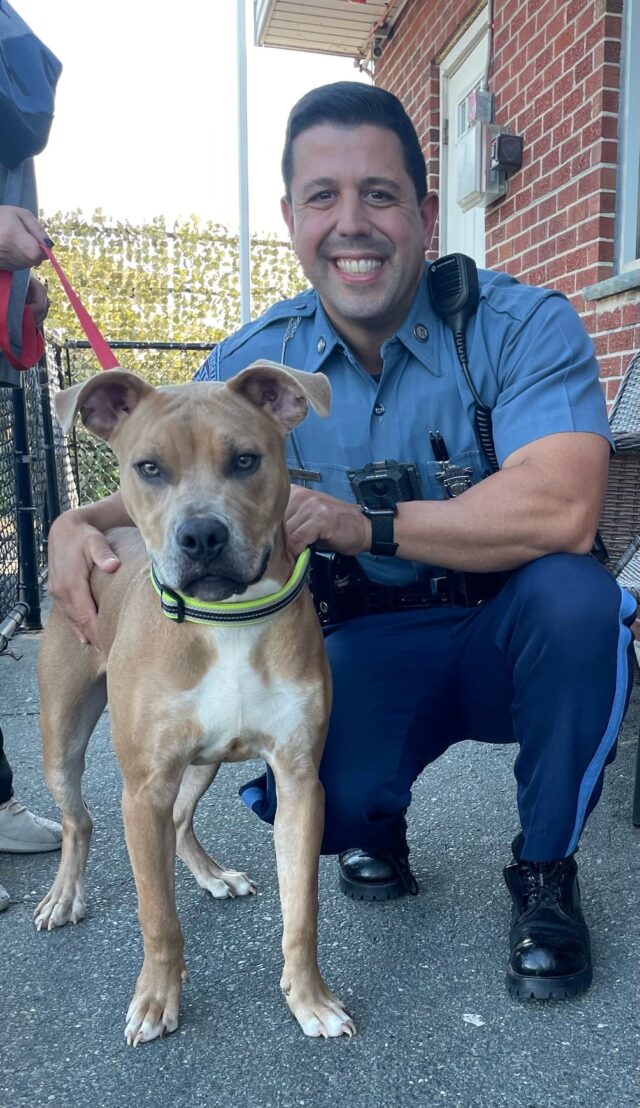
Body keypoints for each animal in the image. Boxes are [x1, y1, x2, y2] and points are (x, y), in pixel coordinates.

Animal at [34, 363, 354, 1045]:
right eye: (149, 467)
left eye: (245, 460)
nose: (202, 534)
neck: (226, 618)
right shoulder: (142, 788)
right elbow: (157, 915)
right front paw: (157, 1000)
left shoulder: (300, 782)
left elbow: (303, 910)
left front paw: (308, 998)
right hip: (61, 737)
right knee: (79, 819)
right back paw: (64, 896)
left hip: (202, 760)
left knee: (180, 819)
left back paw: (212, 875)